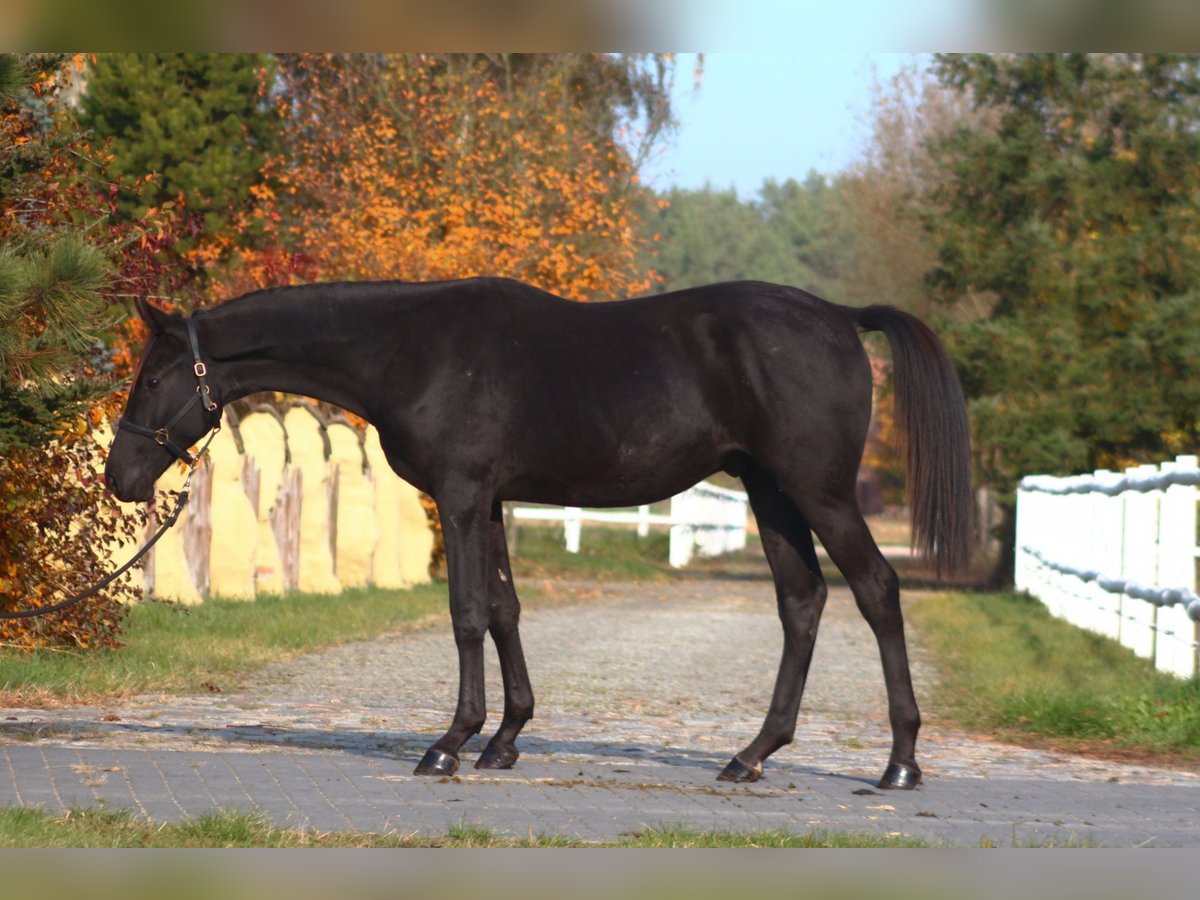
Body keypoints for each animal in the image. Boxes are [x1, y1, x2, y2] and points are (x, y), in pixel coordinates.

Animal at [108, 280, 969, 787]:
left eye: (153, 377)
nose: (120, 477)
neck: (408, 347)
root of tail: (840, 317)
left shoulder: (460, 496)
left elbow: (465, 615)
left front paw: (450, 743)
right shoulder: (490, 501)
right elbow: (504, 611)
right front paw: (506, 738)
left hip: (817, 491)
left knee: (876, 591)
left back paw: (900, 763)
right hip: (769, 491)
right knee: (802, 601)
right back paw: (751, 755)